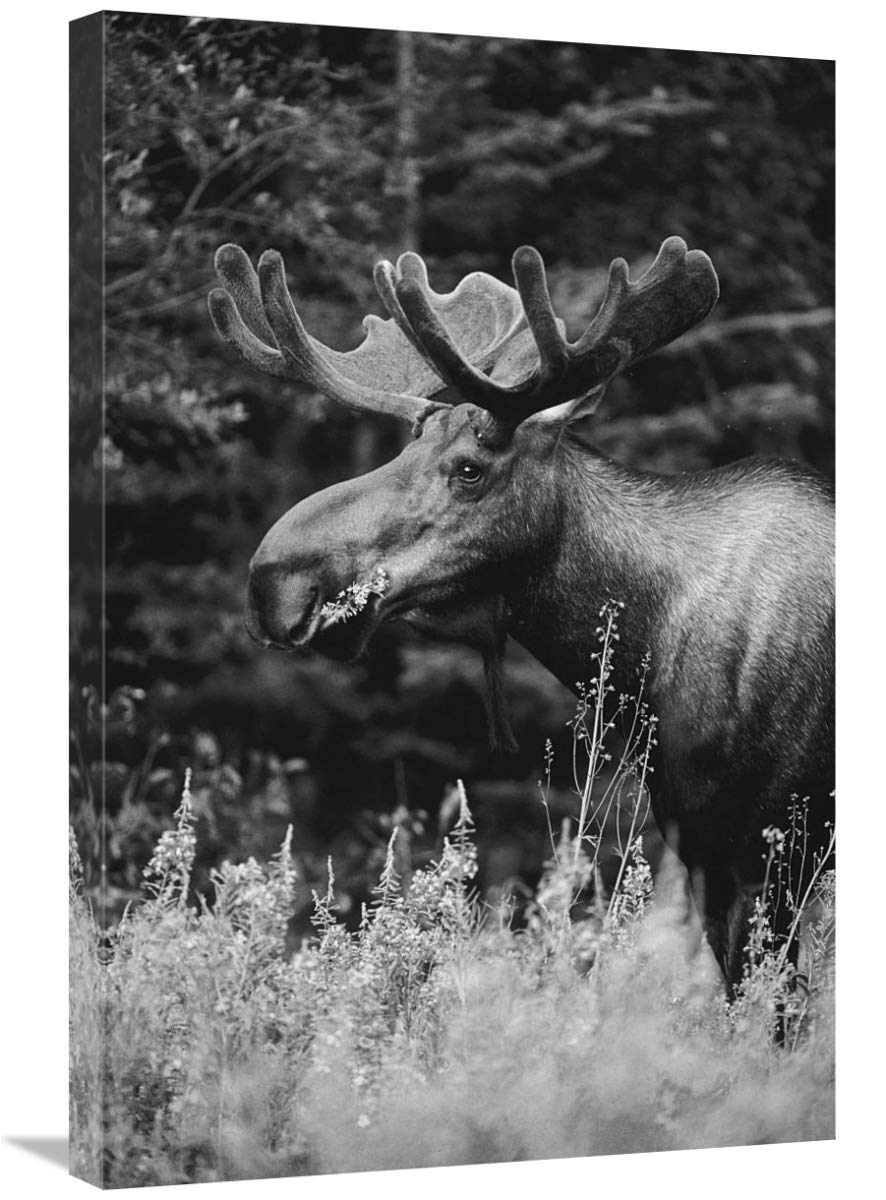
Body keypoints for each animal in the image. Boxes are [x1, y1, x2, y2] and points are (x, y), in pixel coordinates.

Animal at [208, 235, 834, 996]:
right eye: (405, 450)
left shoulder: (777, 845)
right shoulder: (701, 846)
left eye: (470, 468)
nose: (275, 579)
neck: (647, 656)